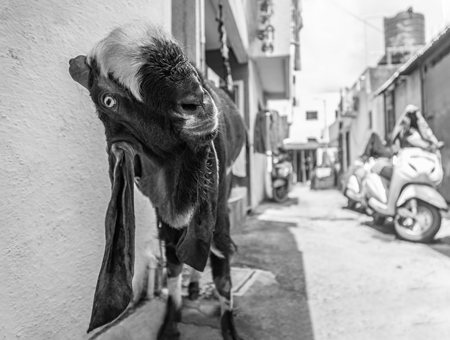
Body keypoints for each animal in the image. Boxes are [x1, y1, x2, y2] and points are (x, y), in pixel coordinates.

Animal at [69, 21, 246, 340]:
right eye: (108, 100)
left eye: (183, 59)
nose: (196, 100)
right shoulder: (159, 207)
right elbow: (173, 261)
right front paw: (170, 322)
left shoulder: (217, 201)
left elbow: (221, 267)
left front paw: (229, 327)